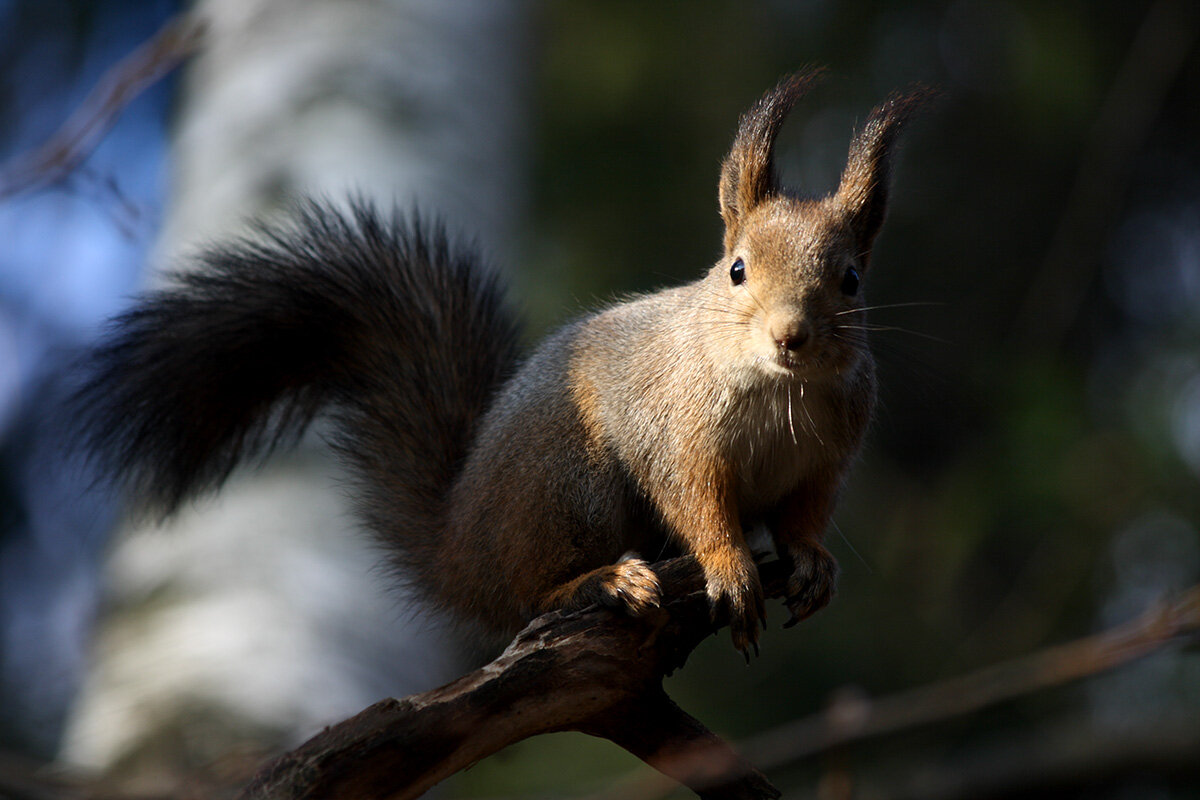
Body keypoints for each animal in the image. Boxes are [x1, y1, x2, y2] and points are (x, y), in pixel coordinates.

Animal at [77, 70, 926, 657]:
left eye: (852, 279)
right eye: (738, 269)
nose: (790, 337)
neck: (779, 394)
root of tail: (460, 544)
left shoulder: (826, 458)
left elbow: (804, 514)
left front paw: (812, 560)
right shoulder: (676, 430)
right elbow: (696, 501)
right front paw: (729, 568)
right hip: (571, 485)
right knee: (527, 595)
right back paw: (600, 580)